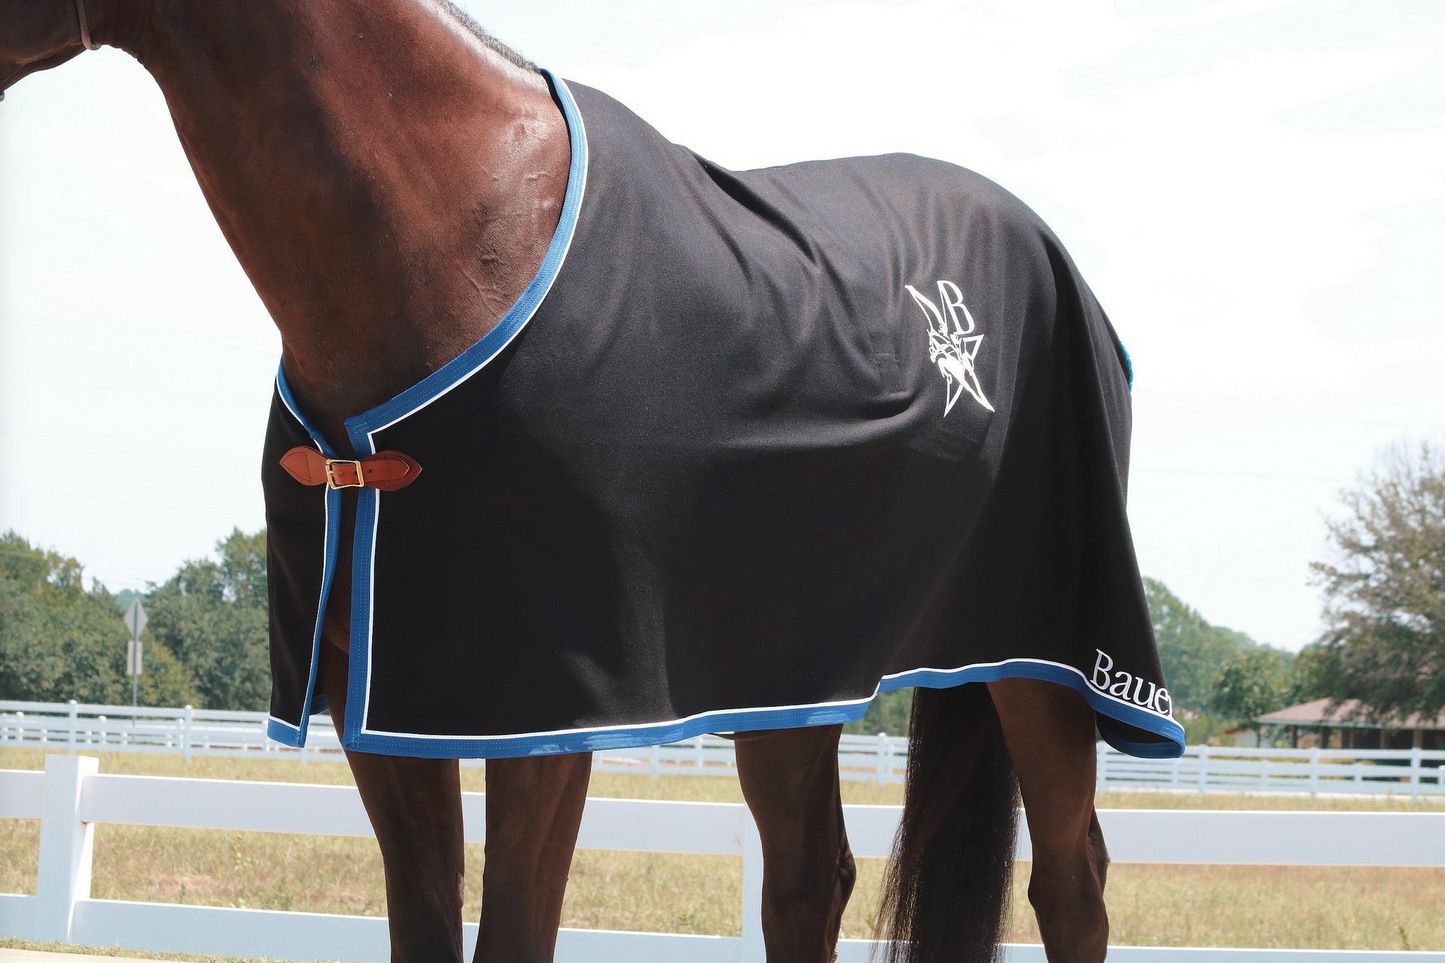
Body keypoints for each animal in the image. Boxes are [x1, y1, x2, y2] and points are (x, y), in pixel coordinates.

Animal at [2, 3, 1181, 961]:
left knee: (1072, 883)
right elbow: (425, 929)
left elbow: (515, 934)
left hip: (1043, 663)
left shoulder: (543, 707)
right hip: (795, 675)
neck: (458, 234)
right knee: (809, 880)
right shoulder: (377, 706)